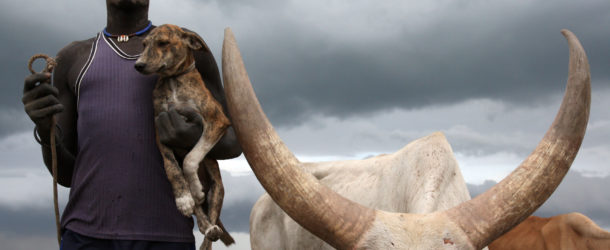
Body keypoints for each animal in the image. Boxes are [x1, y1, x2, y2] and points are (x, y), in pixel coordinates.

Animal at [134, 24, 229, 245]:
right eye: (144, 44)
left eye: (163, 43)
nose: (138, 65)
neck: (173, 81)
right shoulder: (160, 128)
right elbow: (172, 168)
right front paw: (183, 198)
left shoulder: (217, 120)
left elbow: (190, 158)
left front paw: (194, 188)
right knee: (201, 219)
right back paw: (200, 217)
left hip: (217, 190)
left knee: (209, 234)